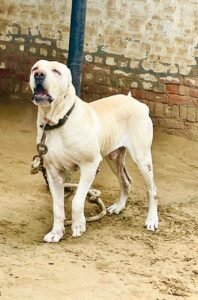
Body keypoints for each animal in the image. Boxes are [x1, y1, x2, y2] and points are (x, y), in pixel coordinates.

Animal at [29, 59, 158, 243]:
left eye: (56, 71)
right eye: (35, 68)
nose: (38, 74)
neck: (57, 121)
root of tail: (138, 104)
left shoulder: (90, 166)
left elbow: (77, 200)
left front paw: (78, 225)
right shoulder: (53, 174)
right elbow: (58, 207)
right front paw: (56, 232)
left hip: (142, 159)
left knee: (152, 190)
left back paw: (152, 220)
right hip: (113, 158)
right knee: (126, 181)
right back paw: (118, 207)